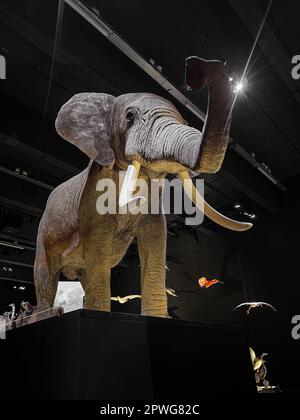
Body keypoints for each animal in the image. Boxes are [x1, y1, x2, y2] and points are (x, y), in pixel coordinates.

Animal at [34, 56, 251, 318]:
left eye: (186, 122)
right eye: (129, 117)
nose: (194, 68)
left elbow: (156, 233)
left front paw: (157, 317)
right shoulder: (93, 191)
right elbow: (99, 237)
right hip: (44, 232)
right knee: (45, 275)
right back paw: (46, 314)